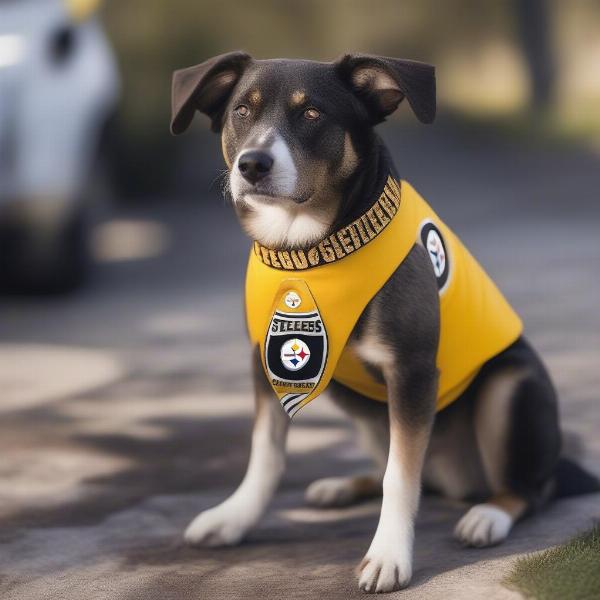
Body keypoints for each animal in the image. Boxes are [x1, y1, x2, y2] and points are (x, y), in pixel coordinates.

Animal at [170, 52, 600, 596]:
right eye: (241, 112)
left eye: (312, 114)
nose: (252, 164)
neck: (310, 254)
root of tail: (462, 482)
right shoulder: (264, 359)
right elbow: (266, 454)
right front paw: (234, 518)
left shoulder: (410, 371)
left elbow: (401, 474)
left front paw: (389, 555)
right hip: (363, 405)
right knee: (406, 469)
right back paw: (342, 486)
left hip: (512, 384)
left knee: (527, 487)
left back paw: (488, 515)